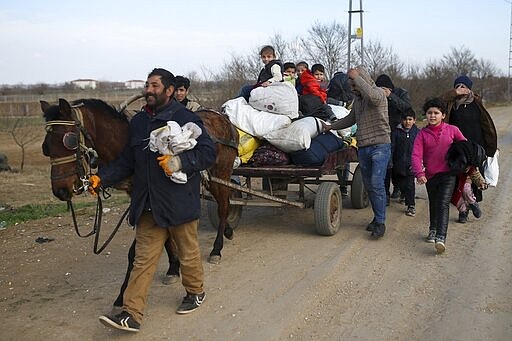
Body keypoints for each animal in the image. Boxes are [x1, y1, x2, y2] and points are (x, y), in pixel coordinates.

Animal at [41, 97, 239, 262]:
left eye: (70, 140)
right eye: (46, 147)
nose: (60, 190)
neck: (123, 141)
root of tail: (222, 118)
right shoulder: (140, 195)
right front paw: (173, 265)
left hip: (221, 172)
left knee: (223, 205)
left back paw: (217, 248)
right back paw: (228, 230)